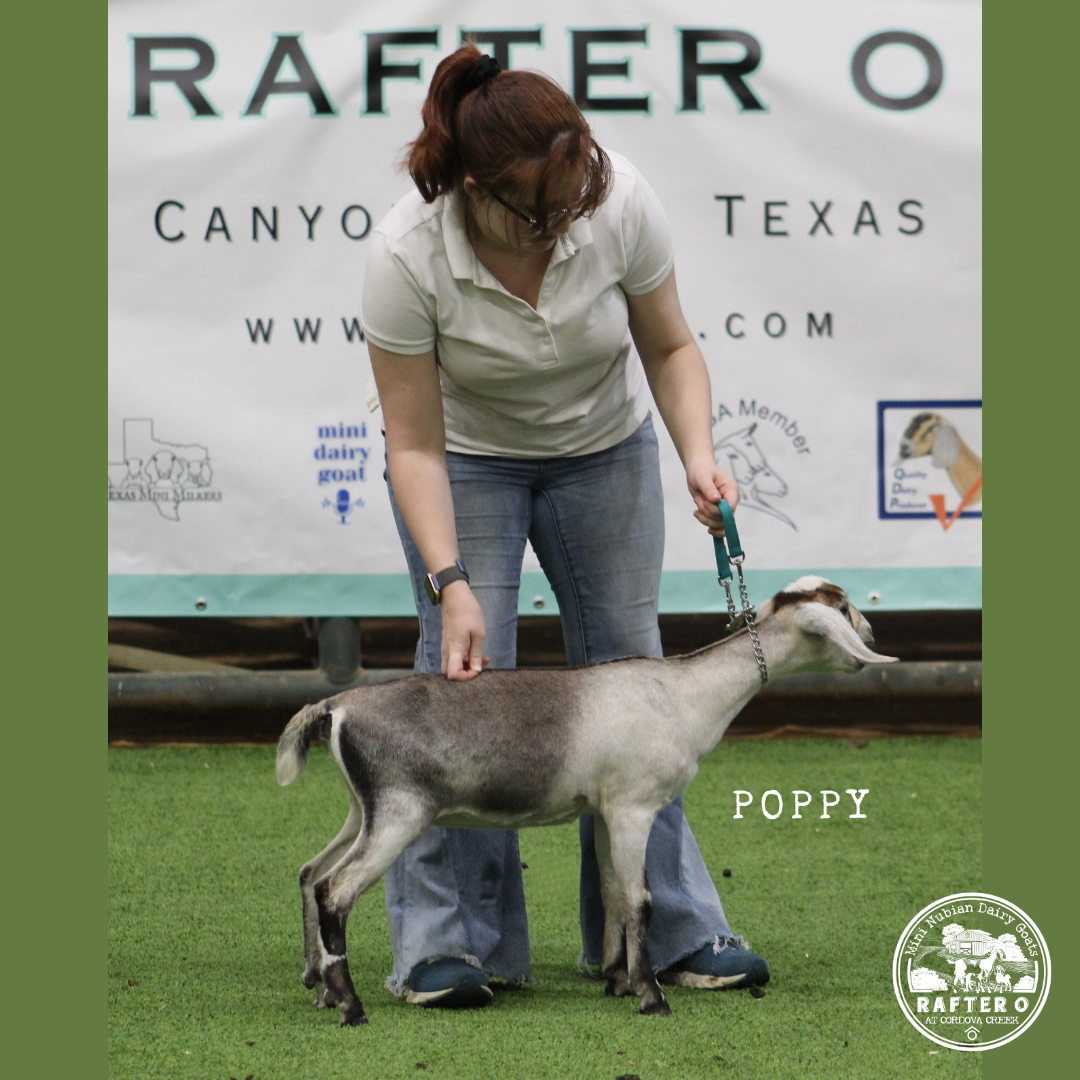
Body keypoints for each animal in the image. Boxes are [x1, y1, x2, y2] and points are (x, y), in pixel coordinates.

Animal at [276, 574, 894, 1019]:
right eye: (843, 608)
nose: (871, 632)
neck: (685, 692)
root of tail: (336, 706)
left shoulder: (603, 811)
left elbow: (613, 891)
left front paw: (618, 981)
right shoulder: (633, 805)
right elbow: (640, 898)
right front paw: (651, 996)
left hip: (364, 808)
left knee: (309, 870)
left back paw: (318, 986)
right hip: (400, 813)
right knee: (334, 889)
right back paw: (350, 1005)